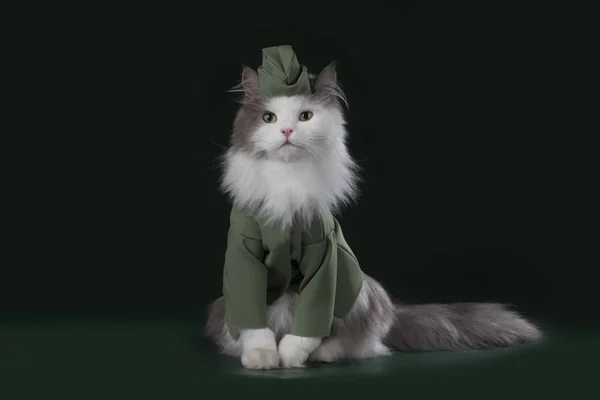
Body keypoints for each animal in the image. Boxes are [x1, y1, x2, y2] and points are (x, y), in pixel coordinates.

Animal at [206, 61, 544, 370]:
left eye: (305, 116)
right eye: (269, 118)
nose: (287, 131)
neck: (288, 182)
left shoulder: (325, 260)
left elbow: (310, 322)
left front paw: (289, 356)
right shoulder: (244, 257)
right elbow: (253, 321)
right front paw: (262, 357)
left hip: (363, 290)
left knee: (357, 341)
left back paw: (323, 354)